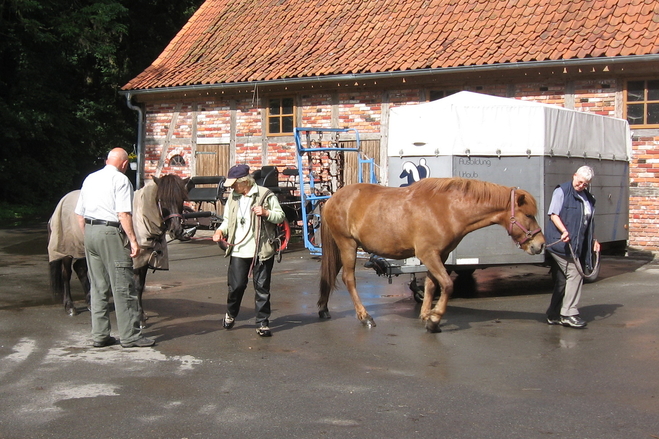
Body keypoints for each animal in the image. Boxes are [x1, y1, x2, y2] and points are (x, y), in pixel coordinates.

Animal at [320, 178, 548, 334]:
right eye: (528, 215)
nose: (540, 244)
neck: (447, 209)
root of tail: (332, 199)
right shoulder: (428, 254)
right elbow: (447, 284)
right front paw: (435, 320)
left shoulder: (440, 255)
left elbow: (431, 285)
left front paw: (425, 314)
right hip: (348, 245)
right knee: (349, 279)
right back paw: (365, 316)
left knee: (328, 275)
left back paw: (323, 308)